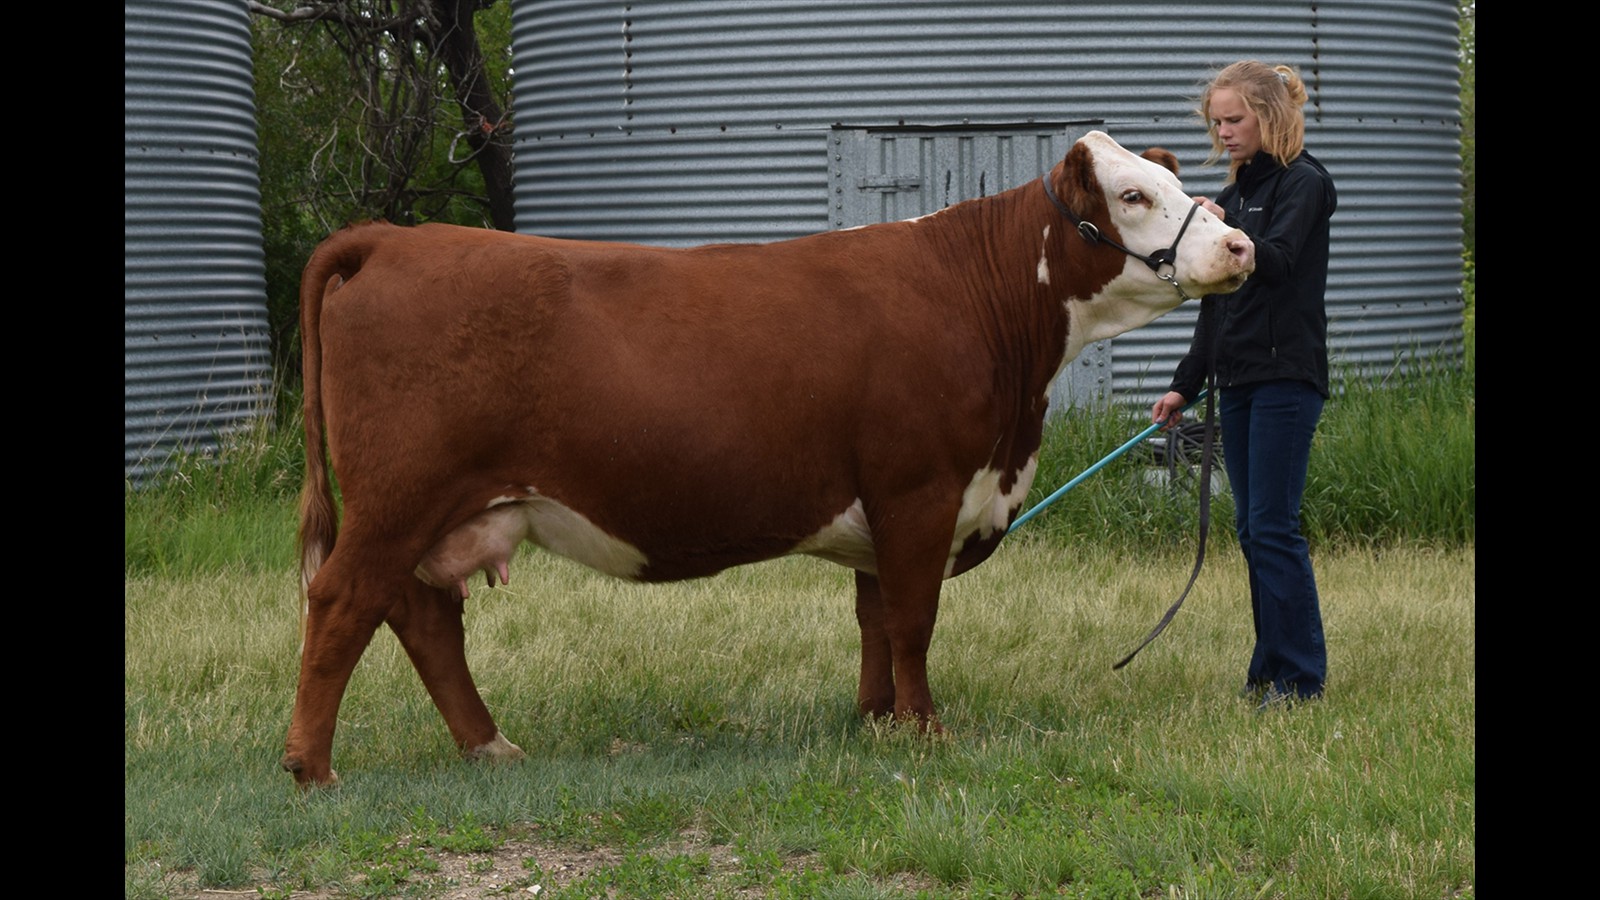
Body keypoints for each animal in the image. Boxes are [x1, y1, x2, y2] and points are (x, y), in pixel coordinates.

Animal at [283, 130, 1254, 788]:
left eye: (1178, 182)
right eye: (1133, 196)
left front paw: (876, 722)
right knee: (343, 600)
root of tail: (397, 235)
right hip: (401, 494)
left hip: (444, 506)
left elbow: (875, 619)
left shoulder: (884, 507)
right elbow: (914, 620)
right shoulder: (919, 489)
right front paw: (927, 732)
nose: (1239, 245)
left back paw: (487, 744)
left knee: (420, 616)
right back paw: (312, 767)